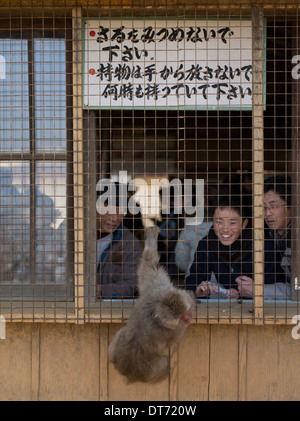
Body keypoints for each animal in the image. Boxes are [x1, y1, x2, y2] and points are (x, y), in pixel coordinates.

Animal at [108, 226, 195, 384]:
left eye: (184, 314)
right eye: (182, 317)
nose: (189, 317)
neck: (156, 309)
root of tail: (128, 374)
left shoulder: (154, 291)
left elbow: (149, 263)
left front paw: (151, 237)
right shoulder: (174, 329)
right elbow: (177, 338)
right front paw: (192, 298)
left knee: (121, 333)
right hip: (149, 372)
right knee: (163, 362)